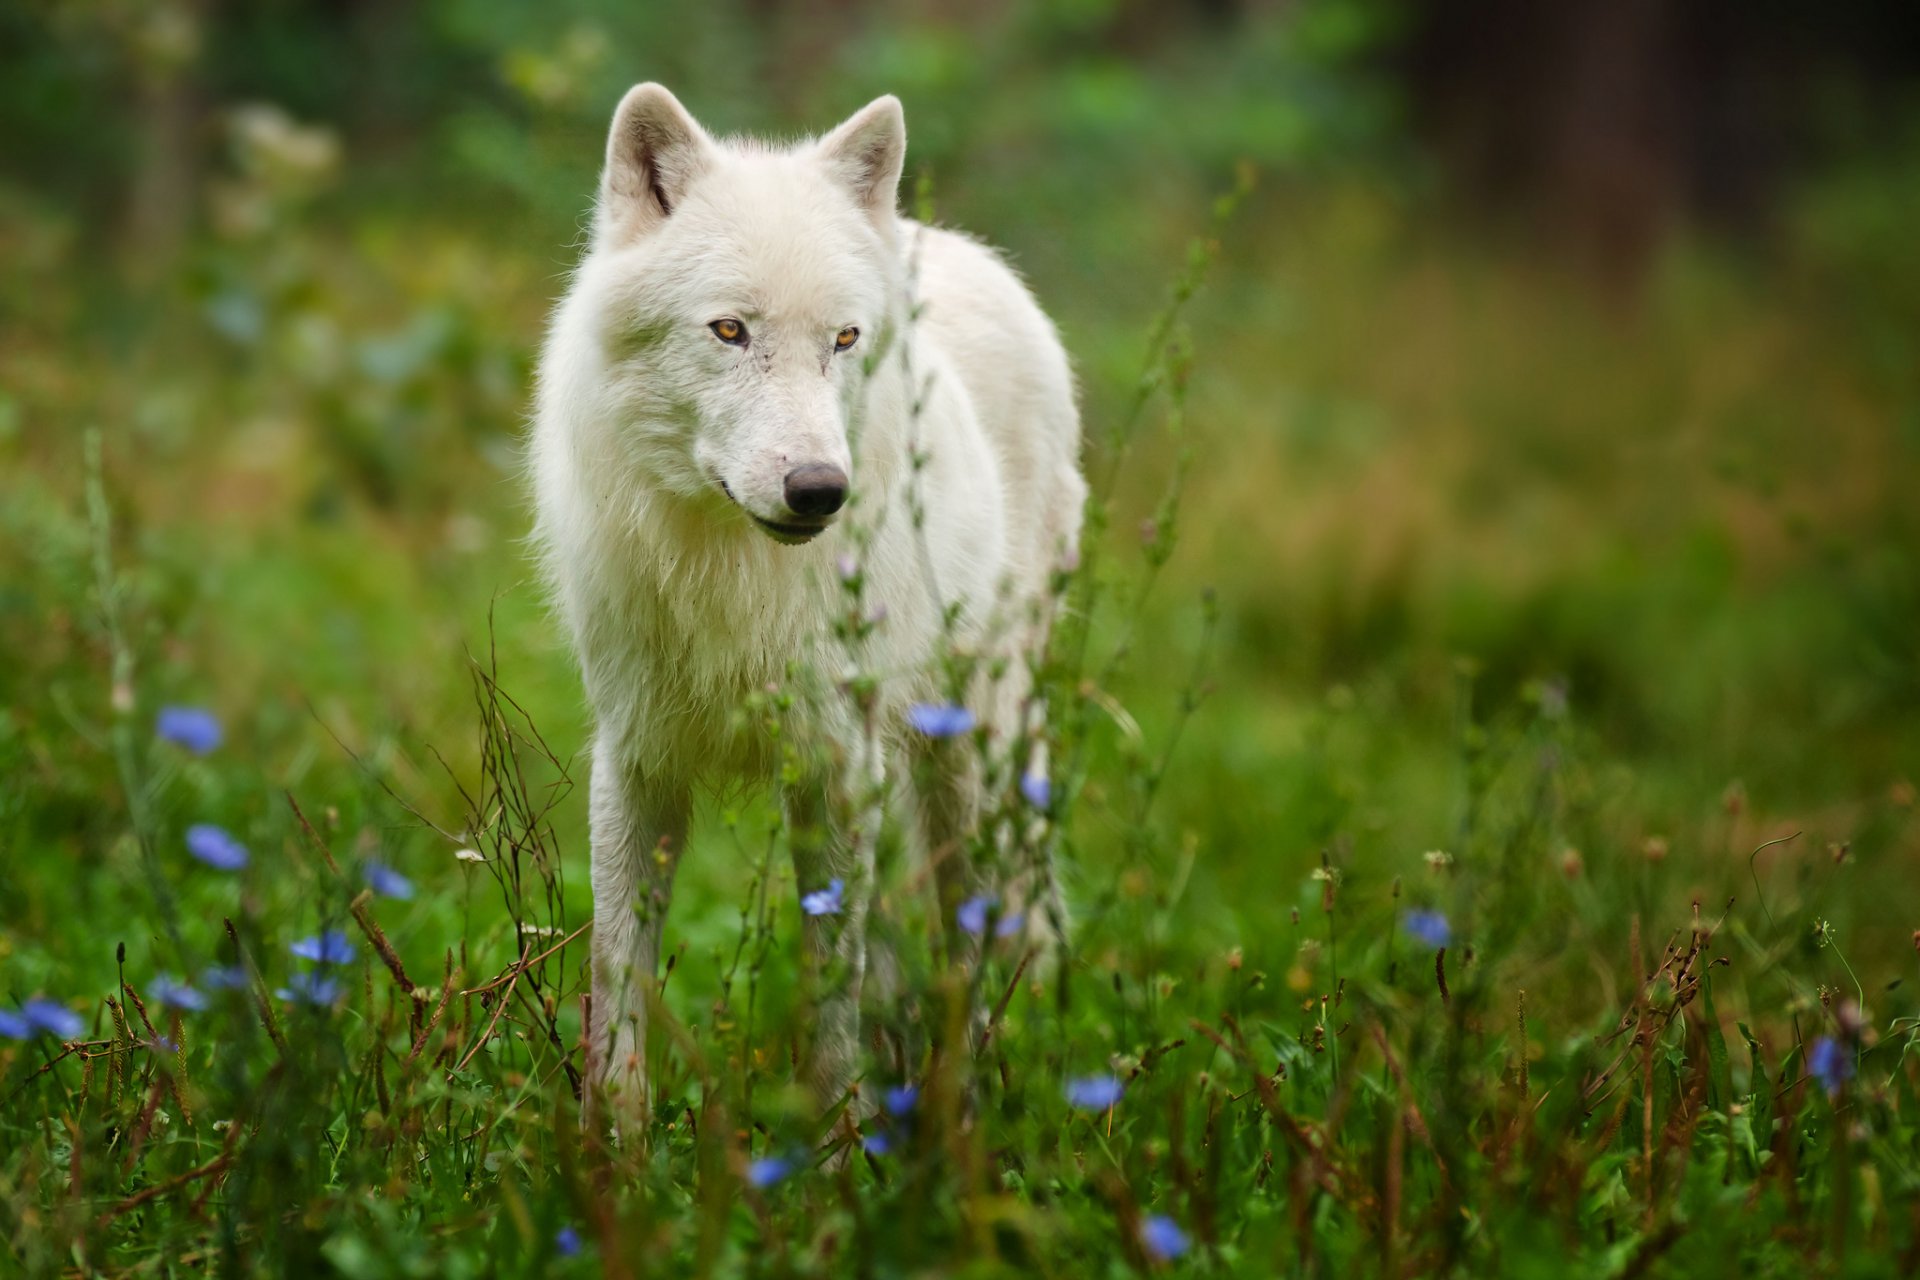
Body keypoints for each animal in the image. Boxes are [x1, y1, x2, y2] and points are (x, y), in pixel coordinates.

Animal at [529, 84, 1085, 1133]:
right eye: (730, 332)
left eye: (843, 340)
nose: (820, 490)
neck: (730, 573)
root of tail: (945, 241)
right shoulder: (636, 757)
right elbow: (618, 973)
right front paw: (610, 1152)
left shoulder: (836, 760)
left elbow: (834, 981)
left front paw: (835, 1145)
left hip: (972, 759)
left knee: (973, 931)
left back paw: (971, 1094)